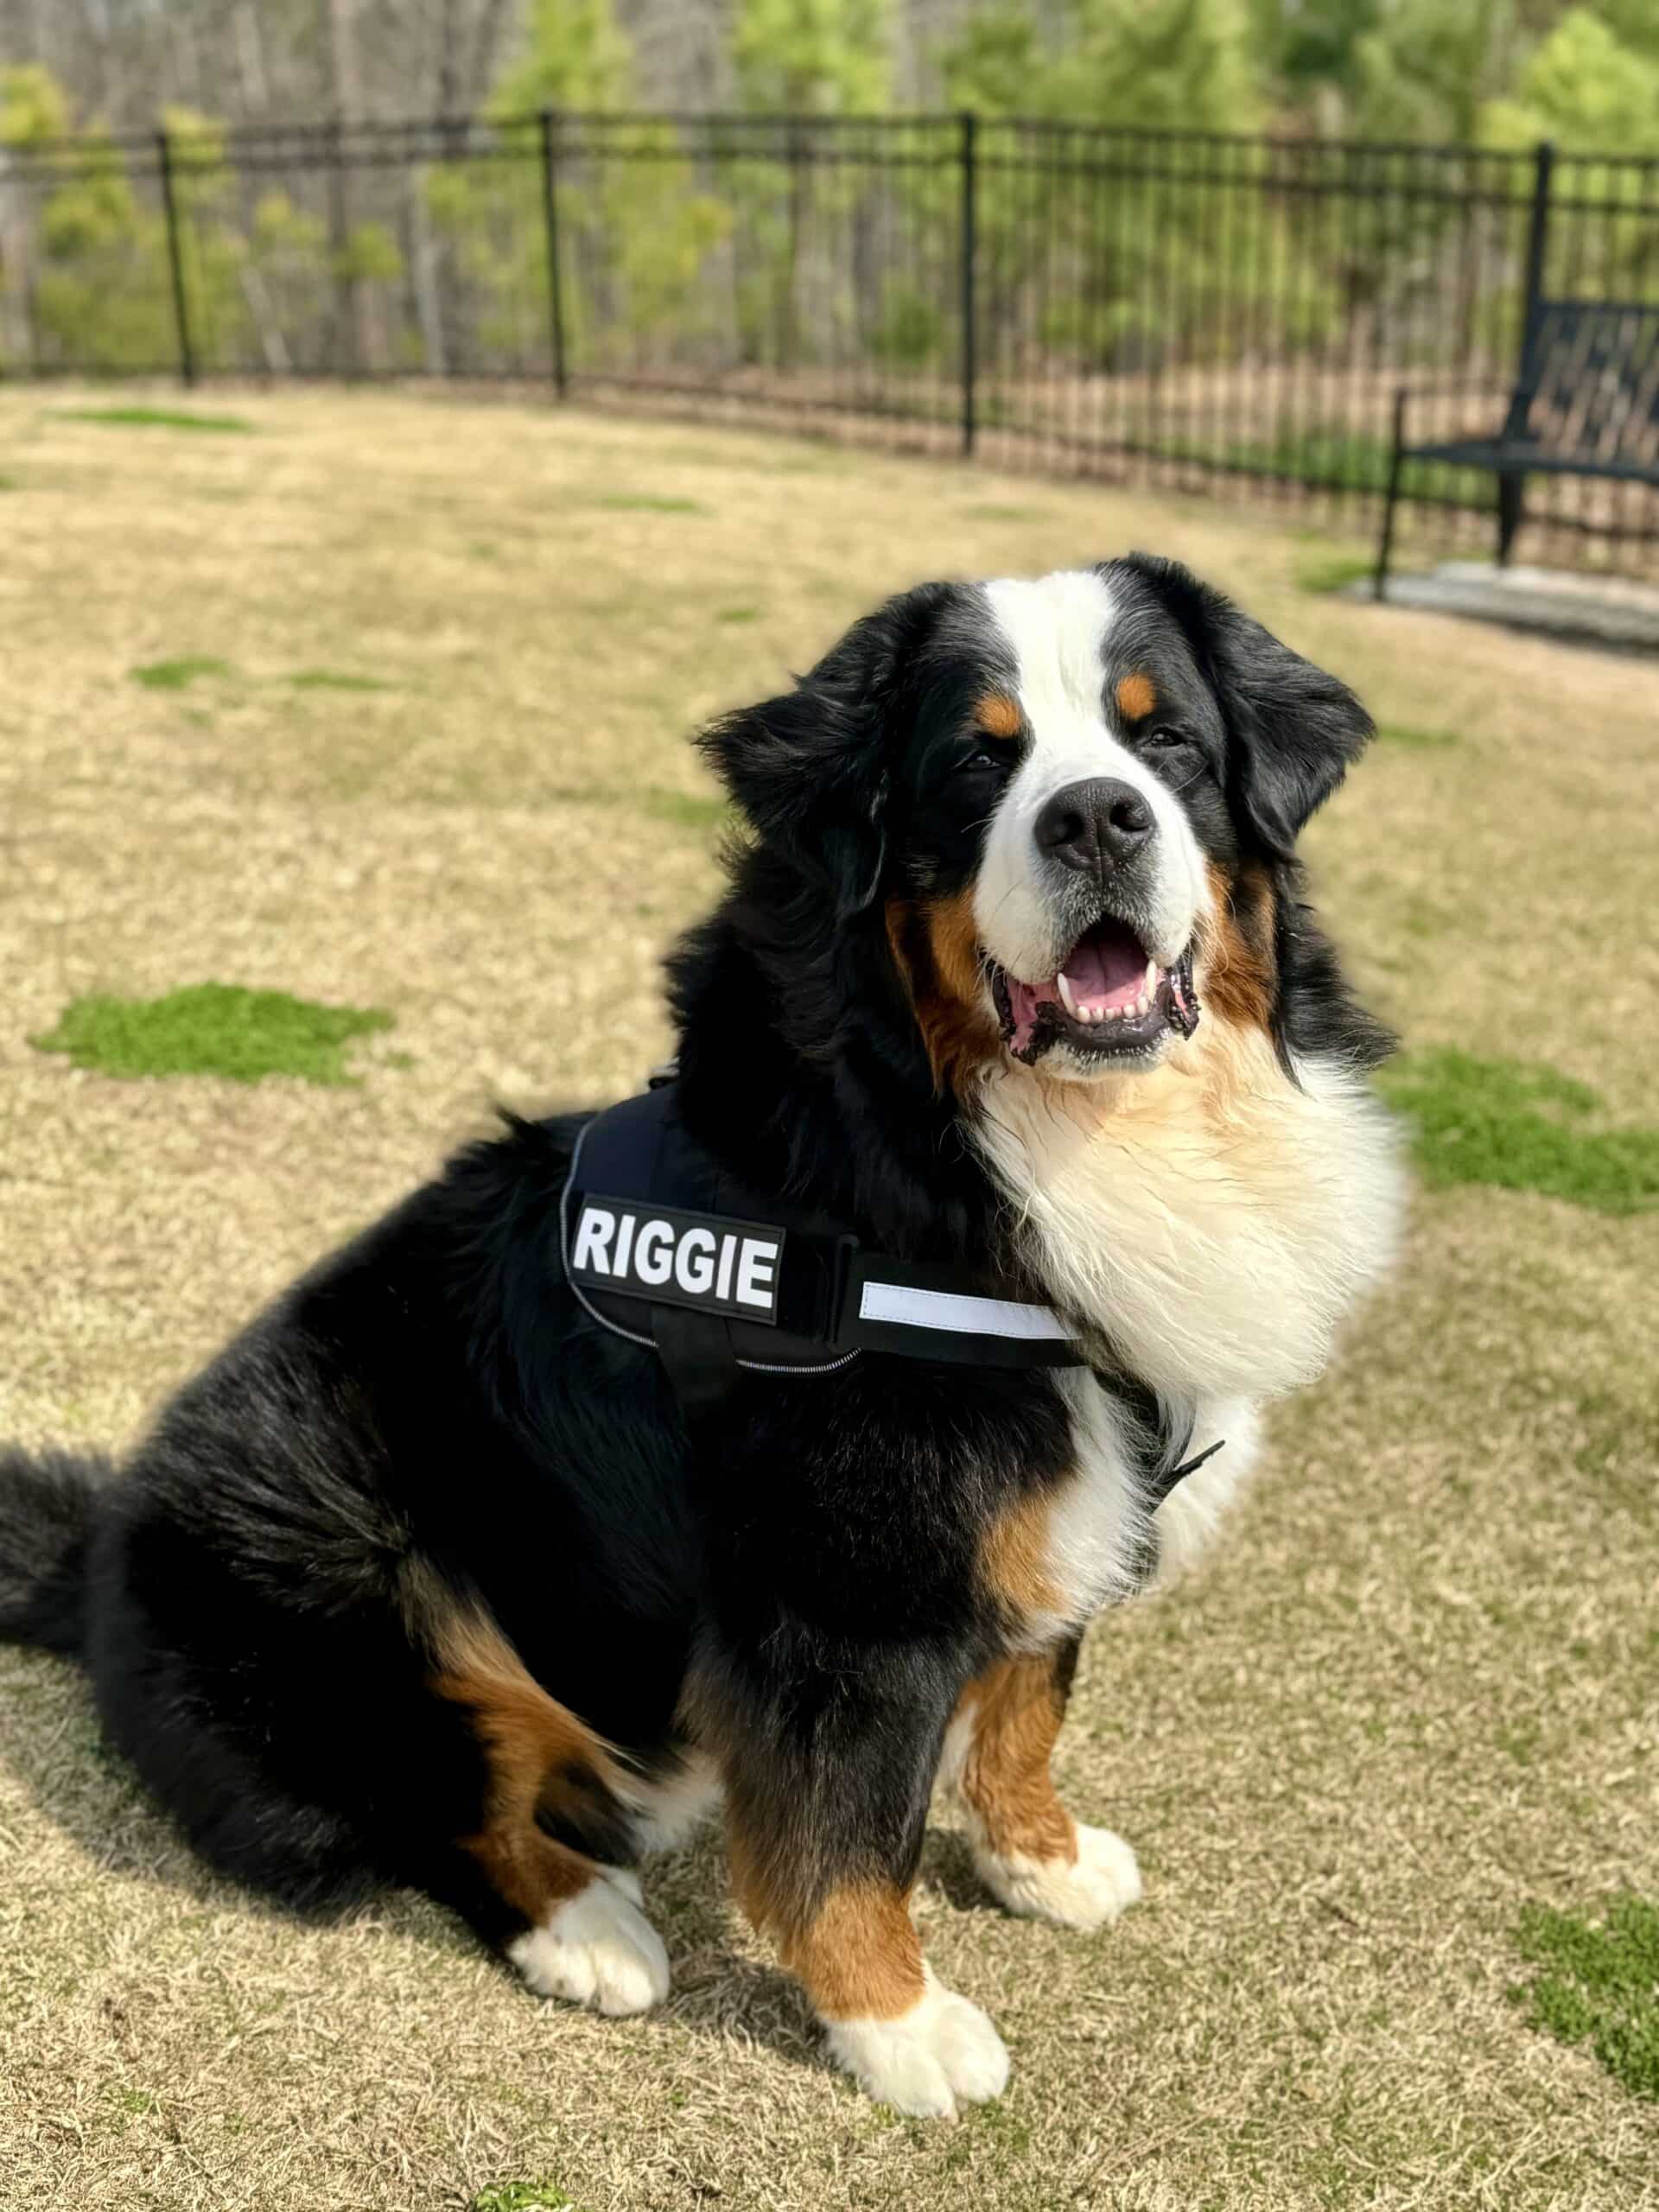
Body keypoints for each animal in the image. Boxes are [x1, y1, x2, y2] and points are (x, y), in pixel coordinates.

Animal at [0, 557, 1407, 2123]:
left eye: (1164, 743)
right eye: (974, 764)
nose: (1098, 816)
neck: (982, 1148)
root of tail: (96, 1547)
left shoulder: (1062, 1502)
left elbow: (1029, 1699)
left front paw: (1039, 1859)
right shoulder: (842, 1596)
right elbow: (849, 1837)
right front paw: (899, 2025)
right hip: (342, 1555)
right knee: (432, 1807)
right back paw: (587, 1927)